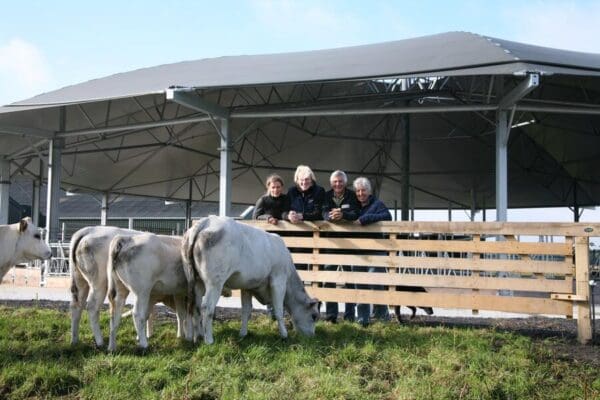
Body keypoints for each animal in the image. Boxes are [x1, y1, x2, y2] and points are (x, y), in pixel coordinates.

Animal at [182, 216, 322, 344]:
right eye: (314, 316)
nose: (312, 337)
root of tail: (206, 221)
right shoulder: (278, 281)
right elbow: (278, 310)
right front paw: (284, 335)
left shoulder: (247, 286)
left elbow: (246, 310)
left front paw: (243, 334)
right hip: (215, 283)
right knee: (207, 307)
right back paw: (209, 340)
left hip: (197, 281)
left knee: (196, 306)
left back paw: (198, 337)